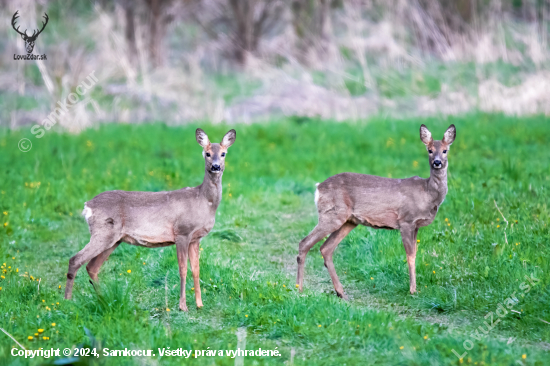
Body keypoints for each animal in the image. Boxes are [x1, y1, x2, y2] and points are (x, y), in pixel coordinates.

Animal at [65, 129, 237, 312]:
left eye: (223, 153)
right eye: (207, 153)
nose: (216, 166)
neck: (204, 201)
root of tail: (87, 206)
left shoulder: (195, 238)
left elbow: (196, 269)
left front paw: (199, 304)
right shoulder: (182, 232)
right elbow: (182, 269)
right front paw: (183, 306)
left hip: (113, 239)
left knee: (92, 267)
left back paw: (103, 298)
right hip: (102, 232)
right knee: (75, 260)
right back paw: (67, 301)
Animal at [298, 124, 458, 296]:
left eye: (445, 150)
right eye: (429, 150)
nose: (437, 162)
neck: (427, 193)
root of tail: (318, 188)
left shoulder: (415, 226)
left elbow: (415, 253)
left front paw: (415, 288)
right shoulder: (406, 220)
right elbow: (410, 256)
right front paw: (413, 290)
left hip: (348, 221)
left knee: (326, 248)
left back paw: (341, 293)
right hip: (332, 215)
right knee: (304, 243)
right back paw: (299, 288)